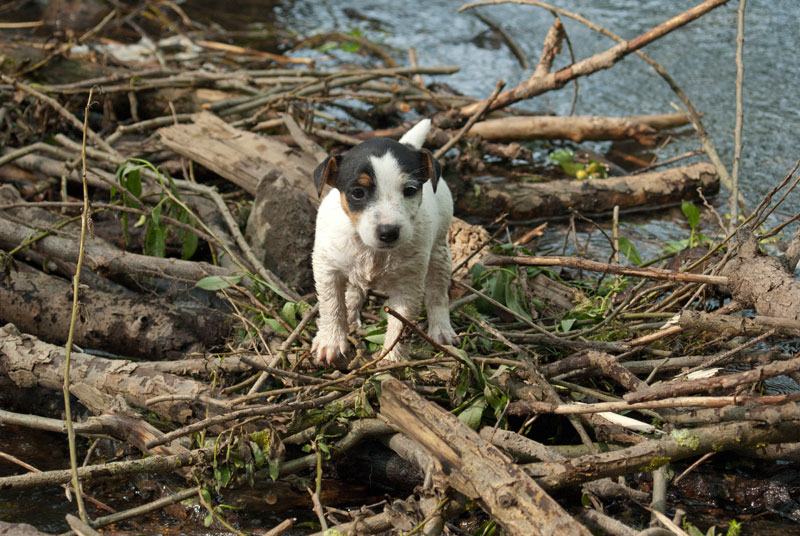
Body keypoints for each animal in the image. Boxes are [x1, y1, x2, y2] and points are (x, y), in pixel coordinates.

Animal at [314, 120, 462, 364]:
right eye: (357, 192)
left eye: (410, 190)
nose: (388, 232)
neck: (371, 250)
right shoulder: (327, 269)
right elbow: (331, 305)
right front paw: (331, 341)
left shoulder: (408, 285)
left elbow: (401, 324)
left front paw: (392, 358)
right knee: (353, 290)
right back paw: (351, 314)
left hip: (440, 253)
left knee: (437, 294)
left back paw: (441, 330)